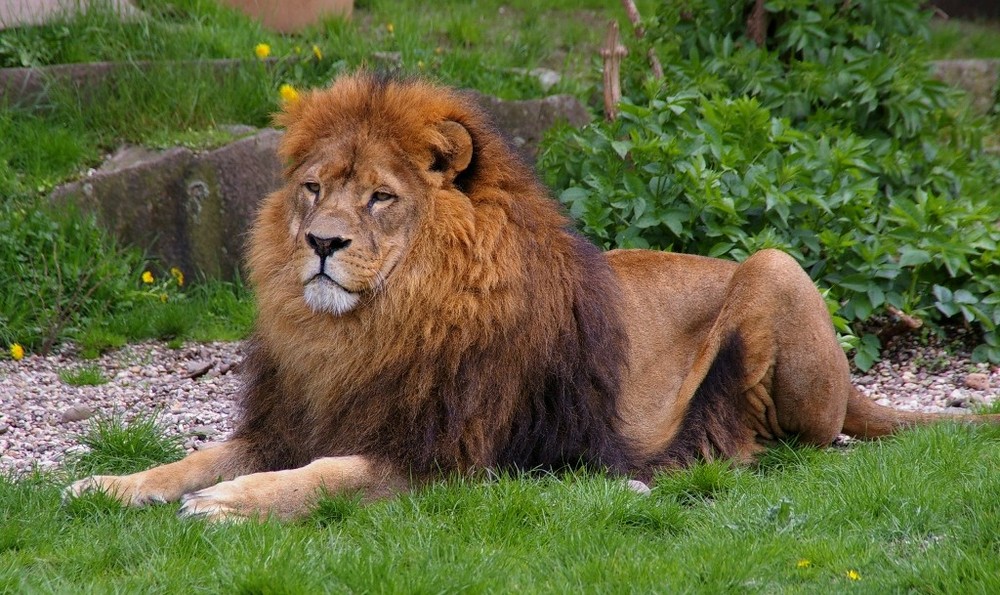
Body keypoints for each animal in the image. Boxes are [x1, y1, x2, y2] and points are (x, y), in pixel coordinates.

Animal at [66, 73, 996, 520]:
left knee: (809, 435)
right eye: (313, 188)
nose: (322, 244)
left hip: (774, 266)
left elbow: (325, 476)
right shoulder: (288, 420)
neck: (365, 330)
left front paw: (229, 504)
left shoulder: (449, 455)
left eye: (380, 198)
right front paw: (106, 484)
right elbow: (192, 456)